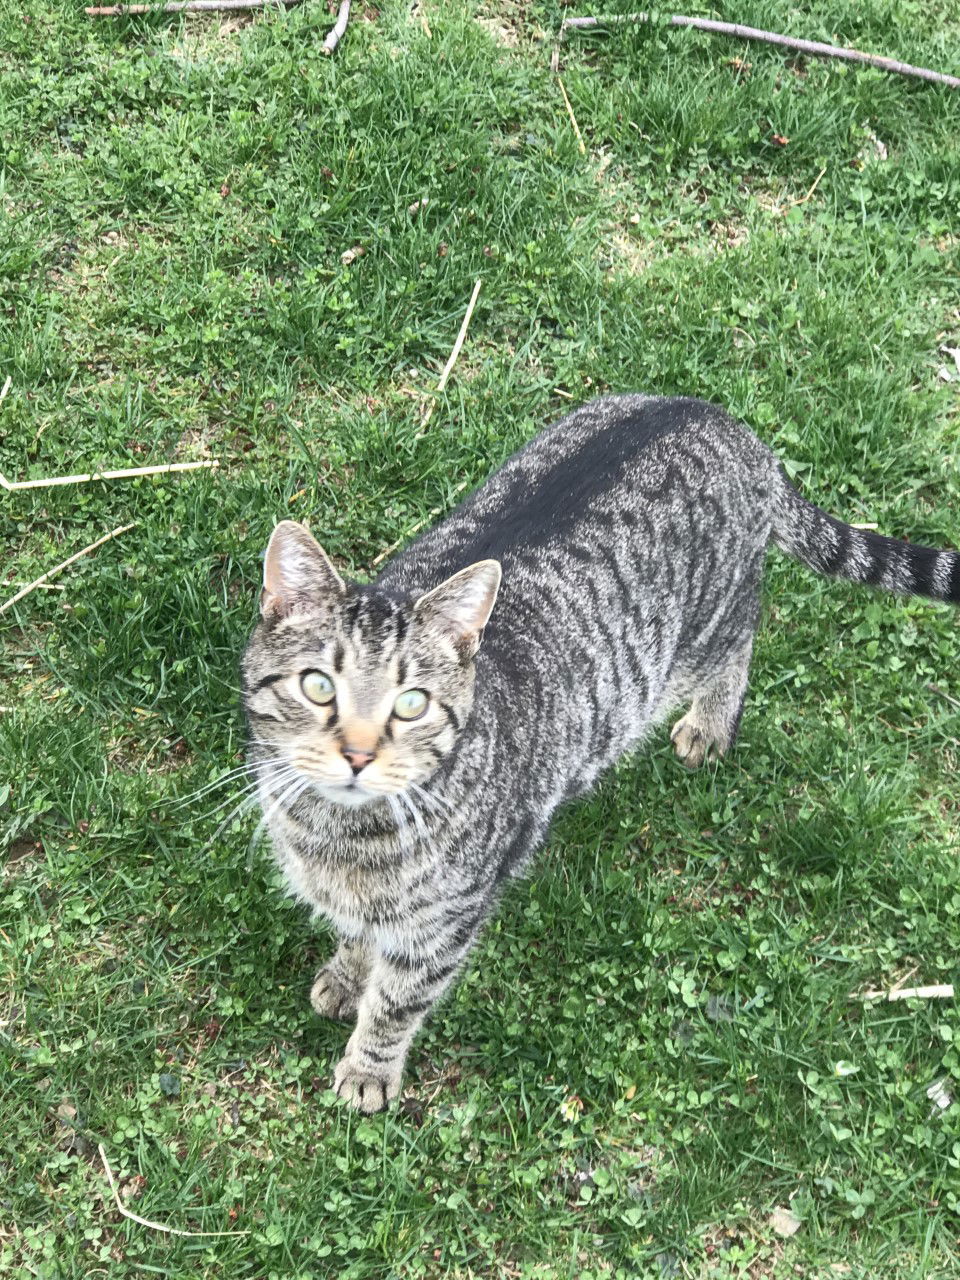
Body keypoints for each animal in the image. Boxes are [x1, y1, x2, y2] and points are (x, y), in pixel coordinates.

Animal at [241, 391, 960, 1111]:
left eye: (411, 703)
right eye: (318, 686)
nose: (358, 754)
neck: (337, 835)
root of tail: (730, 426)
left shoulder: (445, 923)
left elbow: (397, 1003)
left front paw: (368, 1068)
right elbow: (358, 935)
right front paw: (346, 974)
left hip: (706, 633)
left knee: (744, 639)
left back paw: (709, 724)